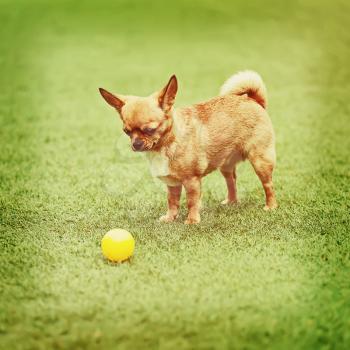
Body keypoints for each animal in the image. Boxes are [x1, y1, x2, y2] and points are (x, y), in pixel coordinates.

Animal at [100, 71, 278, 224]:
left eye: (150, 129)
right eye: (127, 132)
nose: (136, 144)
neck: (167, 143)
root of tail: (253, 100)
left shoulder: (191, 181)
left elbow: (192, 202)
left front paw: (192, 220)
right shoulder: (172, 184)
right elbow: (172, 201)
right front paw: (170, 217)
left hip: (260, 161)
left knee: (268, 185)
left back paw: (271, 206)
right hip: (226, 165)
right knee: (231, 181)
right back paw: (232, 202)